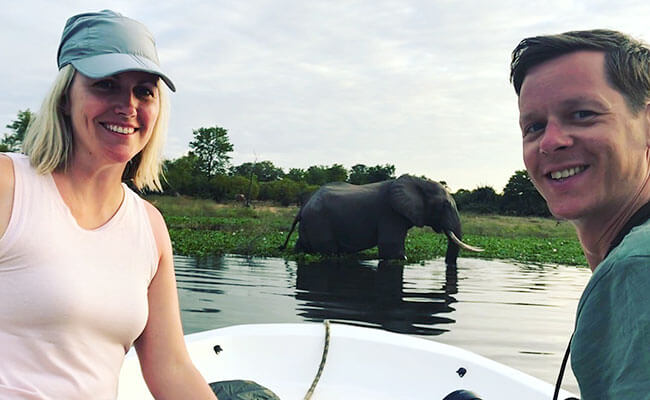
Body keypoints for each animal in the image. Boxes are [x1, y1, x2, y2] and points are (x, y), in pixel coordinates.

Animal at [278, 174, 480, 262]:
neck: (419, 181)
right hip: (319, 222)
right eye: (444, 205)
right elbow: (392, 250)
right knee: (328, 252)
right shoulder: (389, 214)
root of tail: (303, 207)